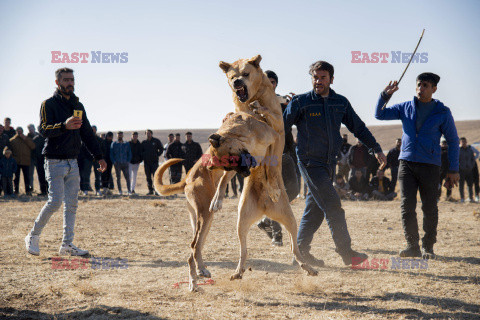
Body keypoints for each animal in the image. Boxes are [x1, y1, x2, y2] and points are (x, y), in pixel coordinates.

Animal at [156, 111, 316, 292]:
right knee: (208, 247)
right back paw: (210, 273)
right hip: (220, 219)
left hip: (283, 220)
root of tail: (188, 179)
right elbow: (225, 179)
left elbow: (270, 168)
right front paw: (218, 198)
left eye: (232, 161)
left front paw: (272, 186)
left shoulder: (273, 141)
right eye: (228, 164)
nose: (246, 173)